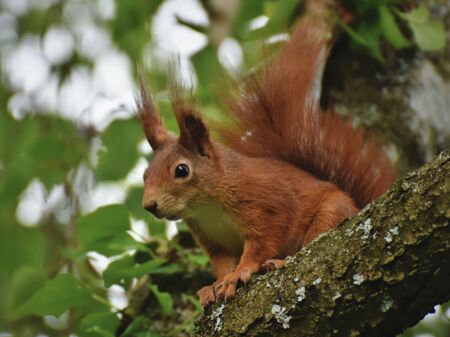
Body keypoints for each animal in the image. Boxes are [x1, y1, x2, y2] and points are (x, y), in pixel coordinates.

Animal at [135, 0, 396, 308]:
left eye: (182, 170)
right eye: (145, 175)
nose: (149, 205)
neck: (208, 206)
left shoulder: (266, 203)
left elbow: (261, 244)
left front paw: (240, 273)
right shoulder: (212, 239)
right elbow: (222, 262)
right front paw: (215, 284)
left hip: (332, 213)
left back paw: (280, 262)